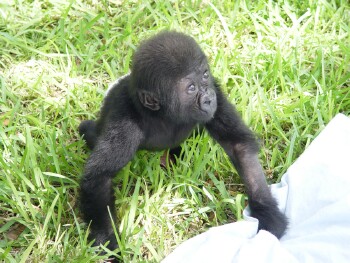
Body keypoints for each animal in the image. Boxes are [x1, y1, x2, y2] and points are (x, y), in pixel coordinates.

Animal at [78, 31, 288, 254]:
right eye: (191, 88)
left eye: (205, 75)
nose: (208, 97)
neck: (162, 113)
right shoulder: (124, 118)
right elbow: (99, 177)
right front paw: (106, 238)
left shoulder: (217, 91)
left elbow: (238, 146)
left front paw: (266, 211)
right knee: (93, 133)